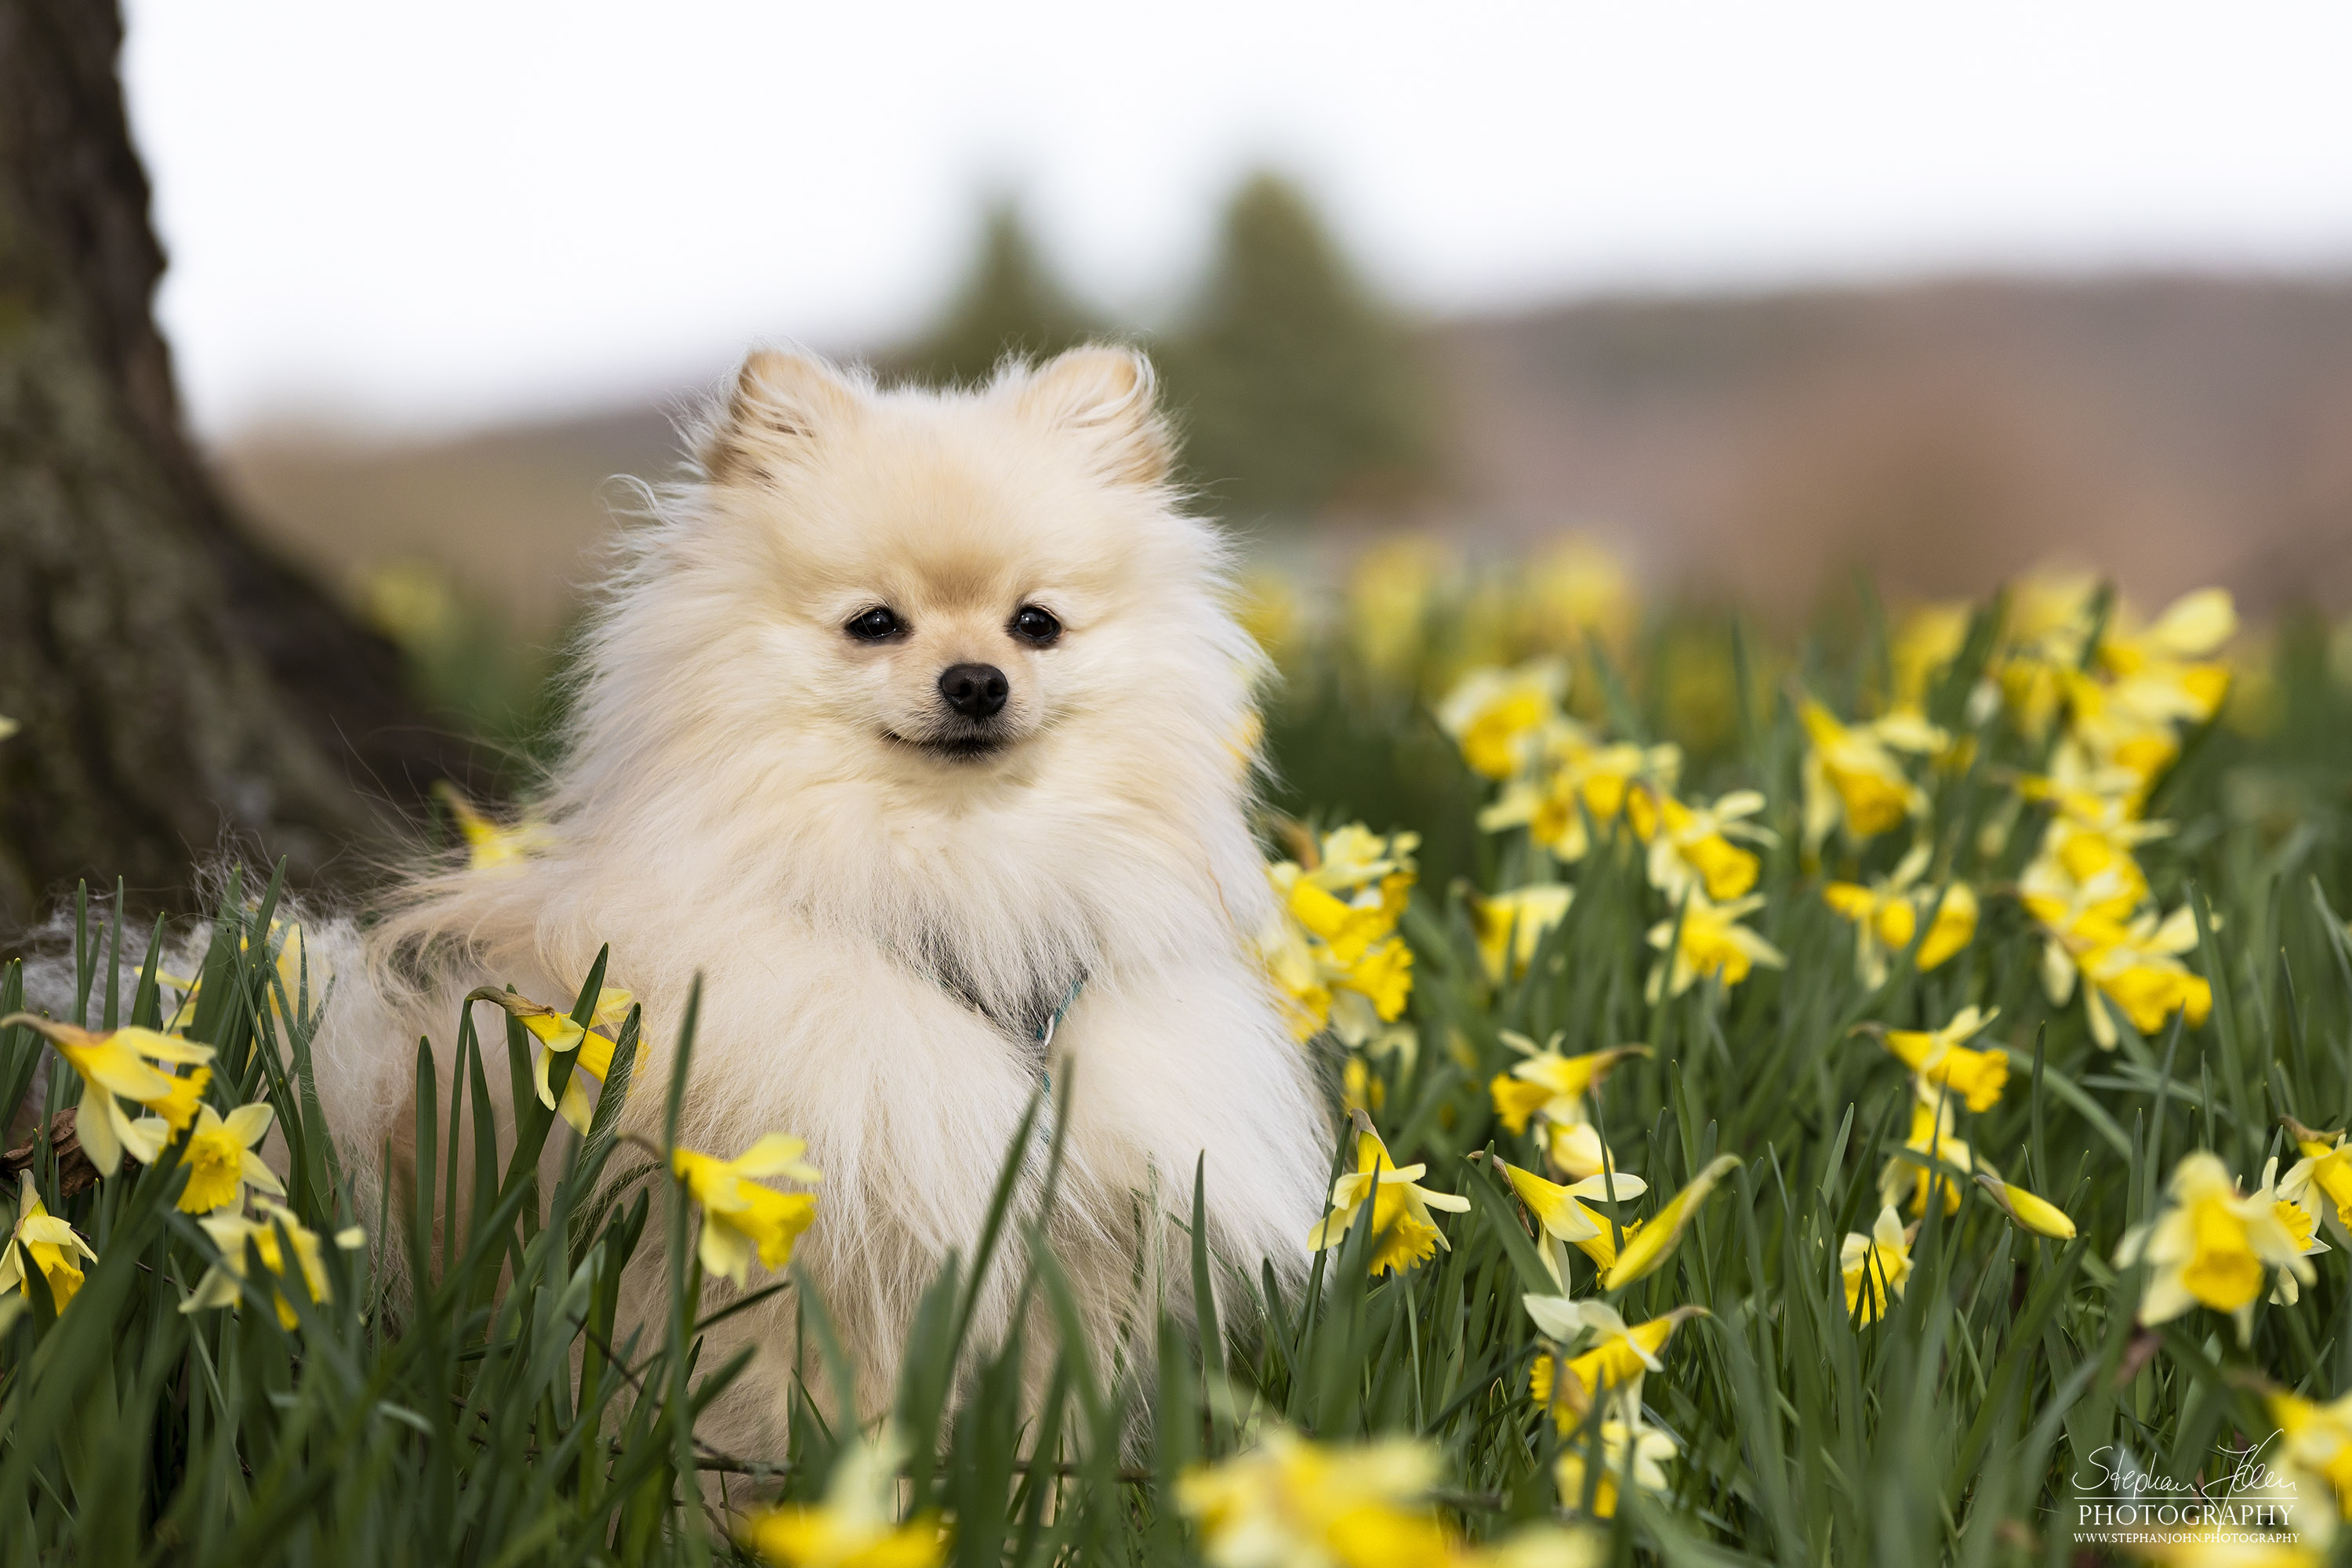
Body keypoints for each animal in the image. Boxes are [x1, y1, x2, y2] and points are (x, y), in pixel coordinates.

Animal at [310, 343, 1336, 1457]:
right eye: (874, 624)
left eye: (1037, 625)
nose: (977, 680)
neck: (956, 869)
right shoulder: (802, 1260)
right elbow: (810, 1417)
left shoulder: (1071, 1251)